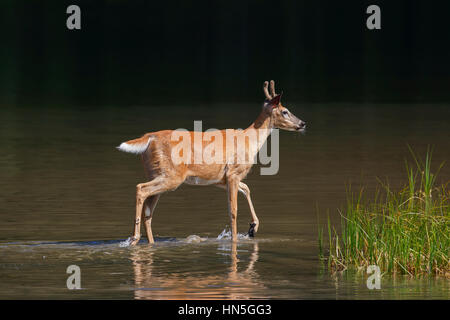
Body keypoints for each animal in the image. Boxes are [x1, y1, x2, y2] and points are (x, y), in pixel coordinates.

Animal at [116, 80, 306, 245]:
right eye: (285, 111)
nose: (303, 123)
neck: (249, 140)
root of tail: (149, 137)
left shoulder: (221, 179)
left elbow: (247, 189)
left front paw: (253, 227)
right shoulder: (233, 173)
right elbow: (233, 210)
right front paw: (236, 239)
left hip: (156, 172)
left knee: (148, 210)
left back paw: (148, 242)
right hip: (172, 175)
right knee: (141, 189)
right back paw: (133, 238)